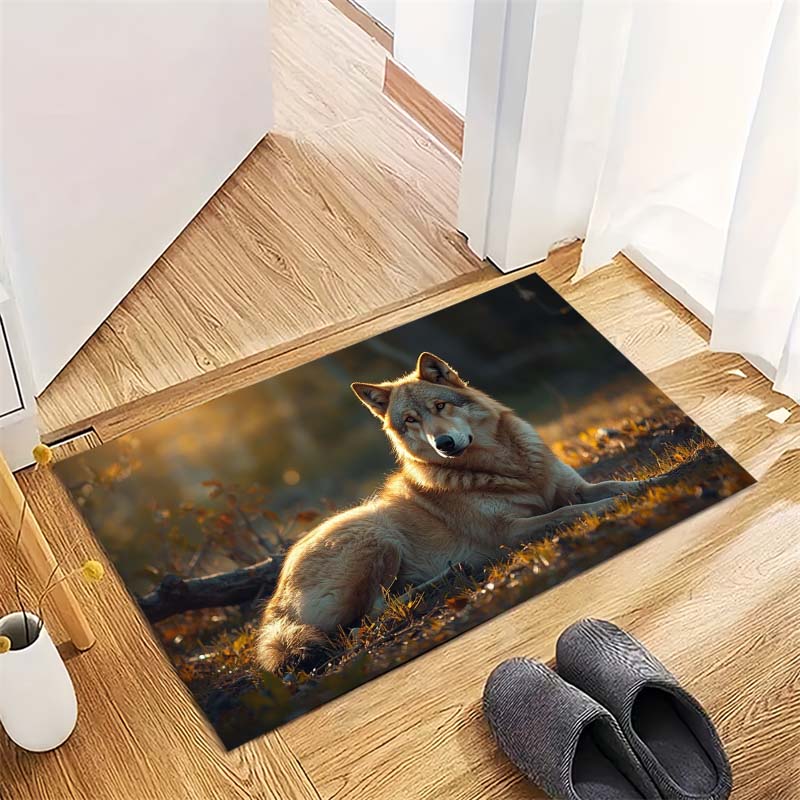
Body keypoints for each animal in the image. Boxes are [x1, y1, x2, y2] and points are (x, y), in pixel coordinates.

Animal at [256, 352, 648, 671]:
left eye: (440, 407)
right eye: (411, 420)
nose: (443, 444)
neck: (510, 468)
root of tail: (275, 599)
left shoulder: (573, 488)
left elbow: (611, 485)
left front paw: (651, 480)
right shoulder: (510, 531)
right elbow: (569, 512)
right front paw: (612, 505)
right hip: (376, 536)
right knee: (368, 618)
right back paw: (449, 576)